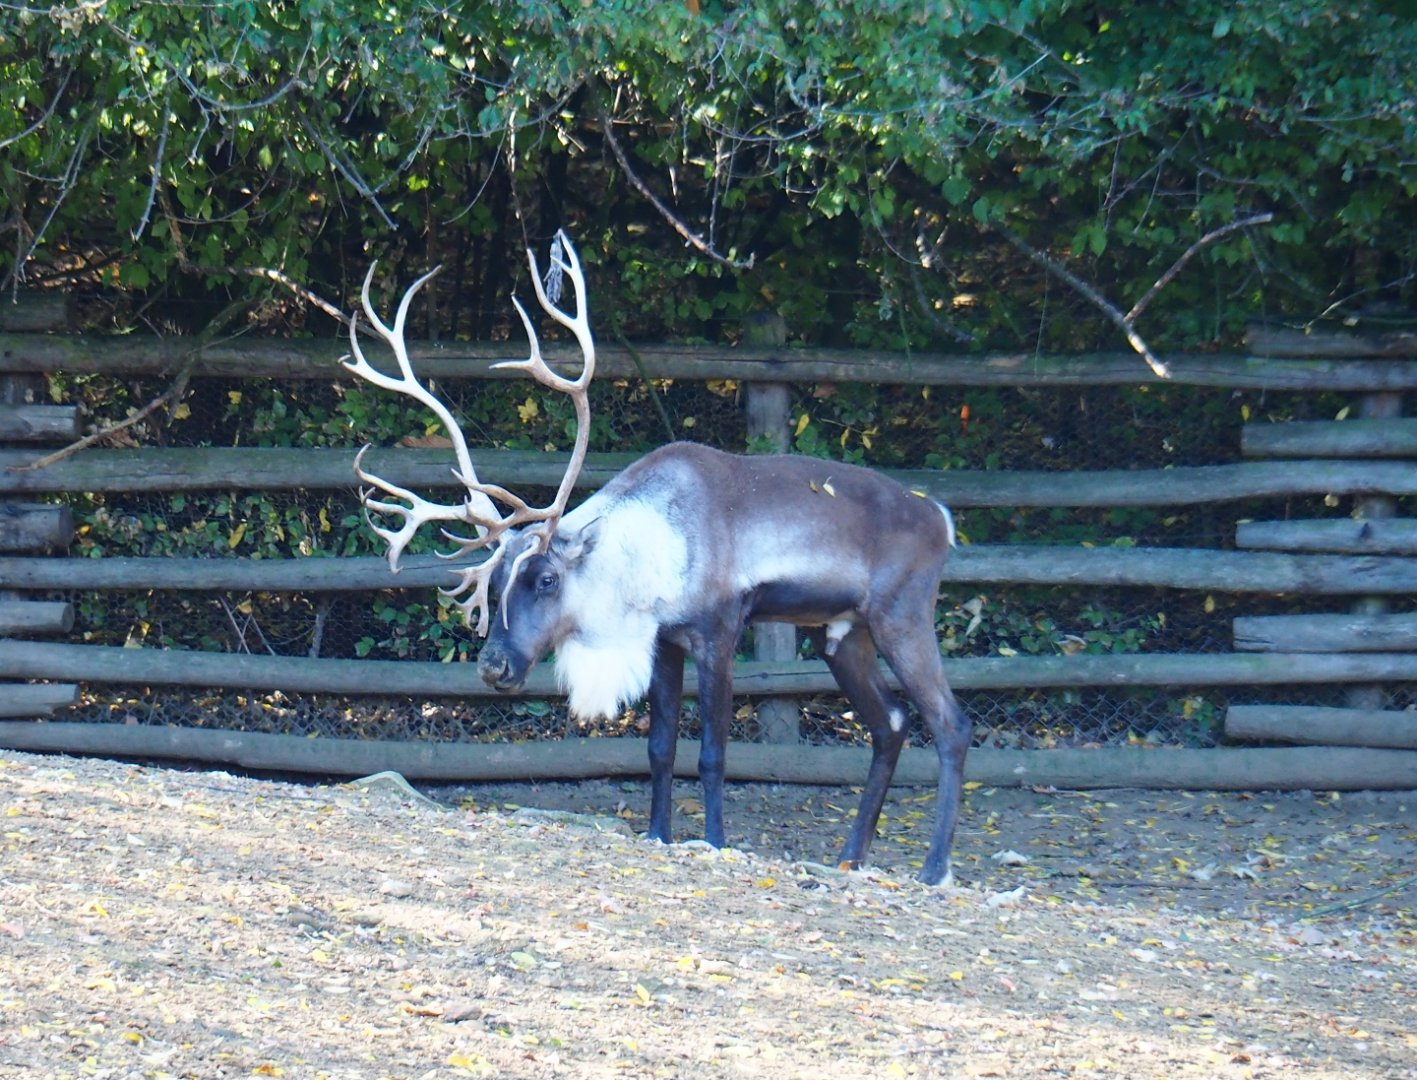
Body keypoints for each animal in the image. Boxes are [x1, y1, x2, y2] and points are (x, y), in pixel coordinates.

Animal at [342, 233, 971, 886]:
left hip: (902, 616)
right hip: (842, 633)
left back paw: (934, 868)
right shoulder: (664, 642)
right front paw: (658, 833)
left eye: (546, 579)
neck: (641, 562)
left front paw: (715, 840)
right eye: (494, 589)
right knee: (891, 723)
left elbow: (714, 752)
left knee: (951, 724)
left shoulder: (718, 633)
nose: (494, 667)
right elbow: (659, 746)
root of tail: (942, 518)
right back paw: (852, 855)